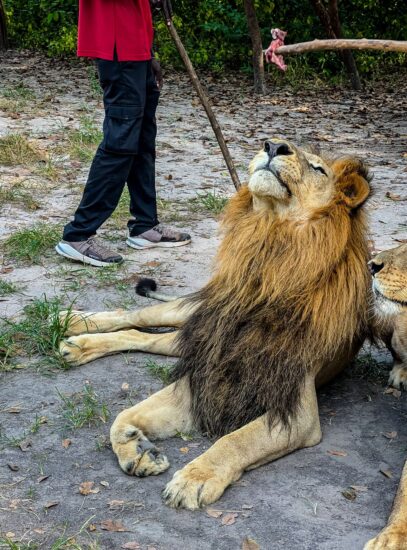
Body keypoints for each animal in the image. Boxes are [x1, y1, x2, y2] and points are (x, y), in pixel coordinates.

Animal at [60, 140, 372, 512]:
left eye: (318, 168)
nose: (273, 145)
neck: (269, 249)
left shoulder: (298, 410)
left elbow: (236, 440)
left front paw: (193, 478)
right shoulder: (204, 369)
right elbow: (122, 416)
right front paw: (138, 450)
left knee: (143, 337)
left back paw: (77, 343)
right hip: (194, 318)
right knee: (139, 318)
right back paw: (71, 324)